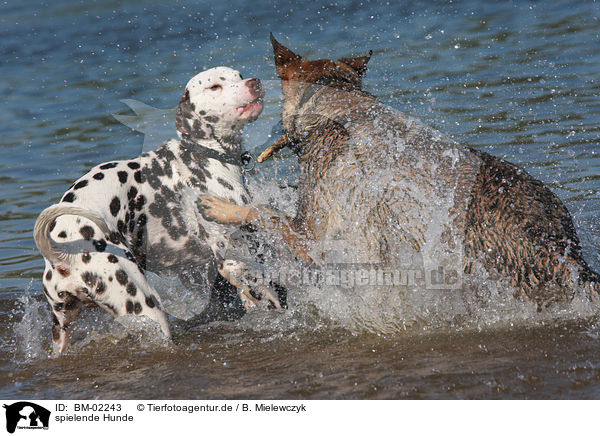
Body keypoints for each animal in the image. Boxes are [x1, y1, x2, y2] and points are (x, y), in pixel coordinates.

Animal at [34, 67, 282, 354]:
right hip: (146, 307)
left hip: (62, 328)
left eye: (238, 75)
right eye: (214, 87)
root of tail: (61, 253)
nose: (254, 83)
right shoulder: (233, 256)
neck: (203, 156)